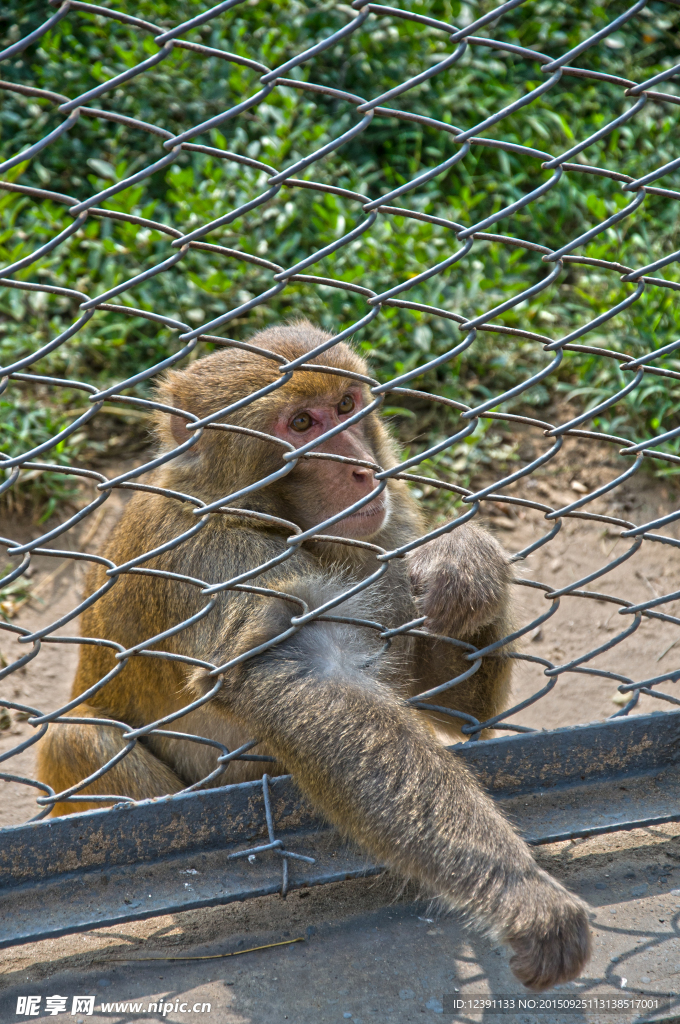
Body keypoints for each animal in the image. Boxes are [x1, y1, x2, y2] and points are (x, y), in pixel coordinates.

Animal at [37, 319, 589, 991]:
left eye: (346, 406)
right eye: (301, 423)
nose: (360, 469)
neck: (266, 514)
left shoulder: (386, 534)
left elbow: (450, 703)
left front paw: (466, 563)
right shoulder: (219, 565)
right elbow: (304, 674)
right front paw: (522, 889)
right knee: (81, 739)